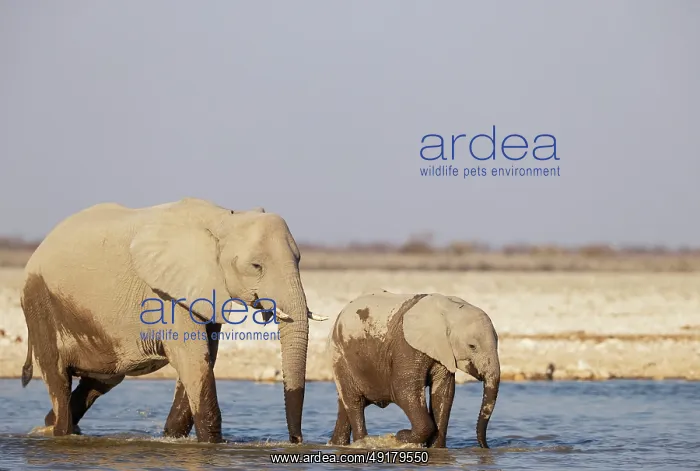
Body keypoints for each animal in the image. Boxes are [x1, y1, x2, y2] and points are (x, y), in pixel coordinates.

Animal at [19, 197, 328, 443]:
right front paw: (212, 445)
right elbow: (193, 360)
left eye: (299, 260)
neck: (223, 218)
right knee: (58, 376)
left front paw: (171, 438)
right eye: (256, 266)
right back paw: (59, 433)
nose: (296, 440)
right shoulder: (166, 293)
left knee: (102, 380)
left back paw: (48, 428)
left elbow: (205, 359)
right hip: (39, 300)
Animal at [327, 290, 500, 448]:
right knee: (354, 402)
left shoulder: (443, 351)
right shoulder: (407, 346)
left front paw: (436, 449)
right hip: (340, 355)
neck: (448, 310)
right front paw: (399, 437)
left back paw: (336, 444)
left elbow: (444, 394)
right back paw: (362, 443)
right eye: (472, 346)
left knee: (345, 405)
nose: (486, 447)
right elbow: (404, 390)